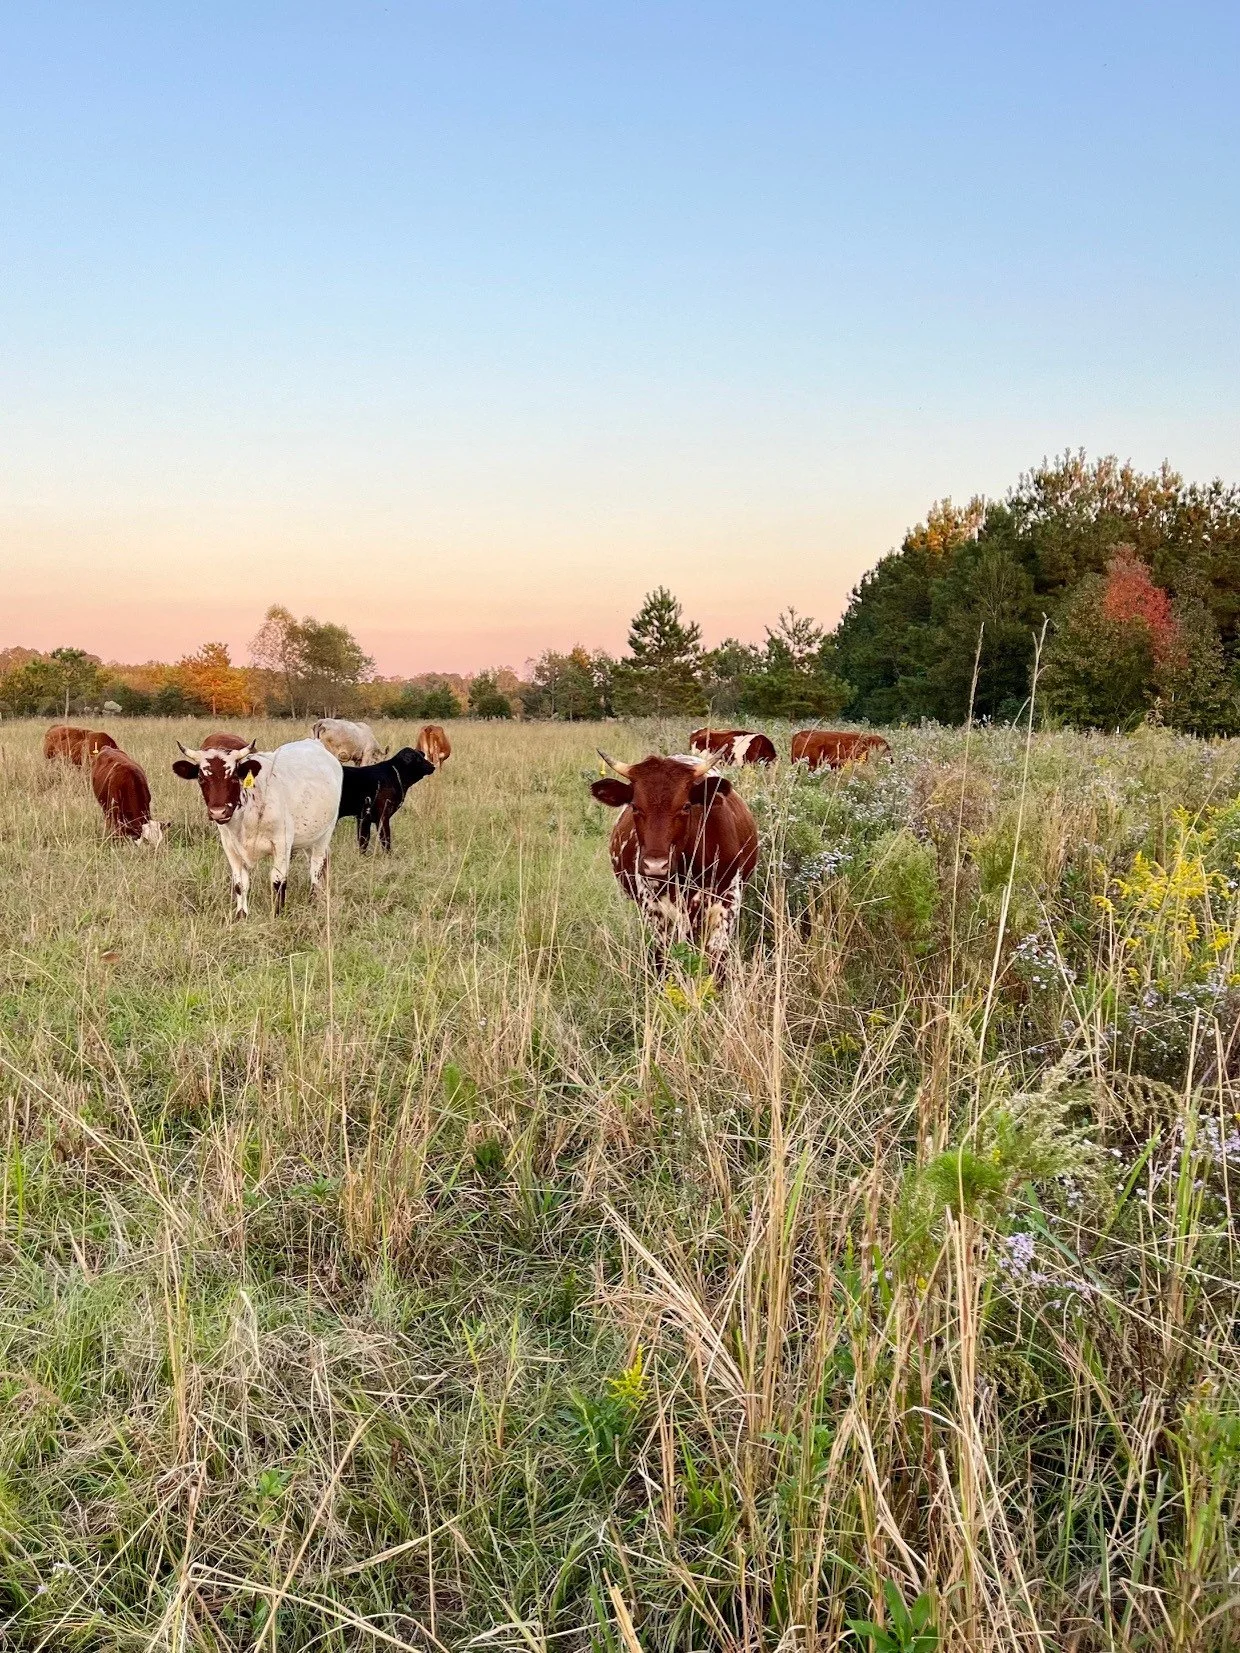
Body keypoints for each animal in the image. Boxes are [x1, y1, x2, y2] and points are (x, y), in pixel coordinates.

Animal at [172, 738, 343, 917]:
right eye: (200, 778)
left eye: (234, 777)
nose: (218, 812)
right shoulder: (230, 846)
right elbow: (240, 883)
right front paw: (241, 915)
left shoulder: (282, 843)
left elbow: (278, 881)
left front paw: (277, 914)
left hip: (325, 833)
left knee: (316, 866)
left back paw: (313, 900)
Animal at [590, 751, 759, 970]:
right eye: (634, 806)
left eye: (686, 806)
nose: (655, 865)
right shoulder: (655, 909)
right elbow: (664, 956)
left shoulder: (727, 901)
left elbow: (716, 957)